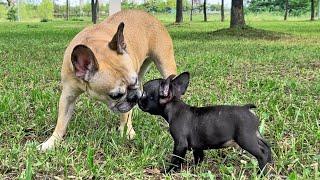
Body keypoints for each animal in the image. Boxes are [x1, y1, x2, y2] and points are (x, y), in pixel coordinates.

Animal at [138, 71, 272, 173]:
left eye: (144, 94)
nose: (137, 98)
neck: (174, 107)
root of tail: (247, 108)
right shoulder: (197, 146)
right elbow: (198, 157)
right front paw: (195, 168)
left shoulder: (180, 144)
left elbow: (176, 159)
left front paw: (169, 171)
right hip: (254, 135)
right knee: (266, 146)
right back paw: (270, 162)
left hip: (245, 139)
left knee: (261, 154)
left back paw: (261, 172)